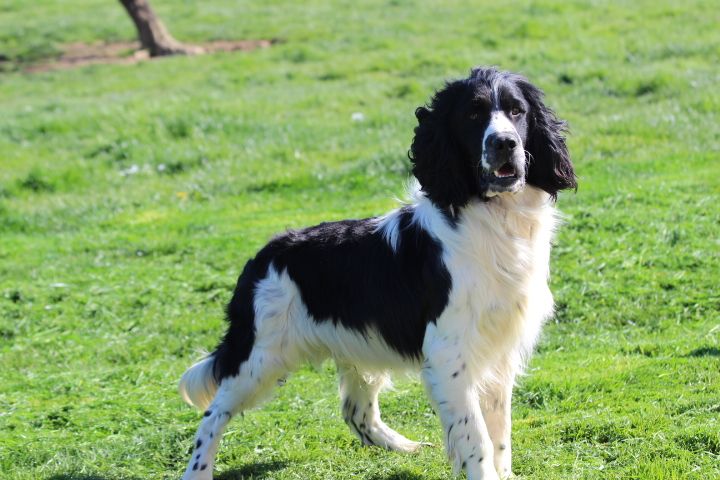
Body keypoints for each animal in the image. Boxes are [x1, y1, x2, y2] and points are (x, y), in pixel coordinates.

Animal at [177, 67, 576, 480]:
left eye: (517, 111)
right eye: (472, 114)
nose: (504, 143)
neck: (495, 220)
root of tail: (263, 256)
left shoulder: (499, 350)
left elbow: (500, 435)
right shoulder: (449, 356)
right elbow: (476, 438)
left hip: (355, 350)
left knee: (357, 412)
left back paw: (404, 446)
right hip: (261, 358)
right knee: (213, 413)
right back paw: (198, 471)